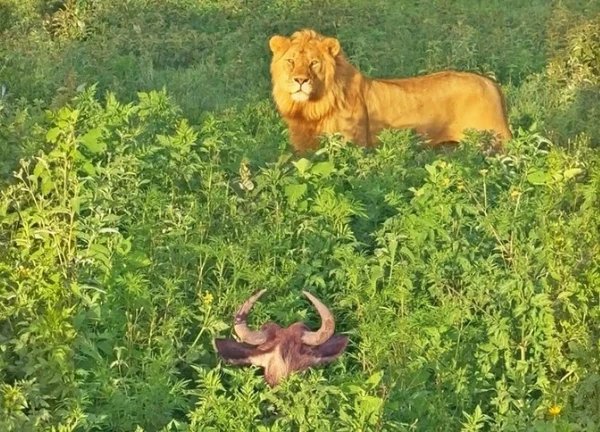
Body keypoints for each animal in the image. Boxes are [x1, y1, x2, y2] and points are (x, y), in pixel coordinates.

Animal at [270, 29, 512, 154]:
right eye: (291, 61)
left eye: (314, 63)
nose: (300, 80)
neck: (310, 107)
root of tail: (490, 83)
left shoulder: (353, 146)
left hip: (493, 144)